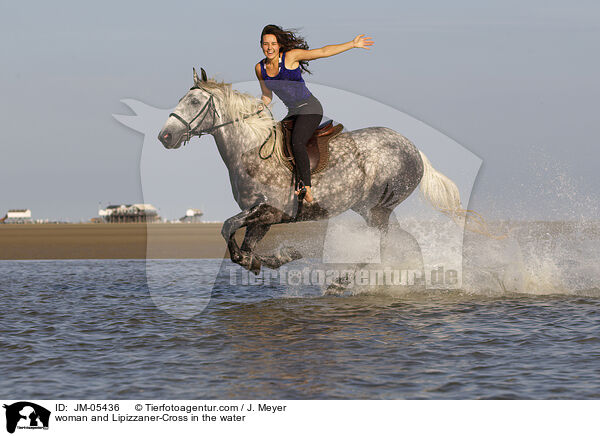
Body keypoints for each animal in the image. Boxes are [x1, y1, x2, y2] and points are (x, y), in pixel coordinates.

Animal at [157, 67, 462, 272]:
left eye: (194, 102)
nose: (165, 136)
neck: (250, 150)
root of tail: (413, 149)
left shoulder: (270, 210)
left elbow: (227, 227)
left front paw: (281, 256)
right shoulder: (262, 219)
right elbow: (243, 250)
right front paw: (273, 259)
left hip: (380, 208)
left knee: (385, 242)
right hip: (368, 208)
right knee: (395, 242)